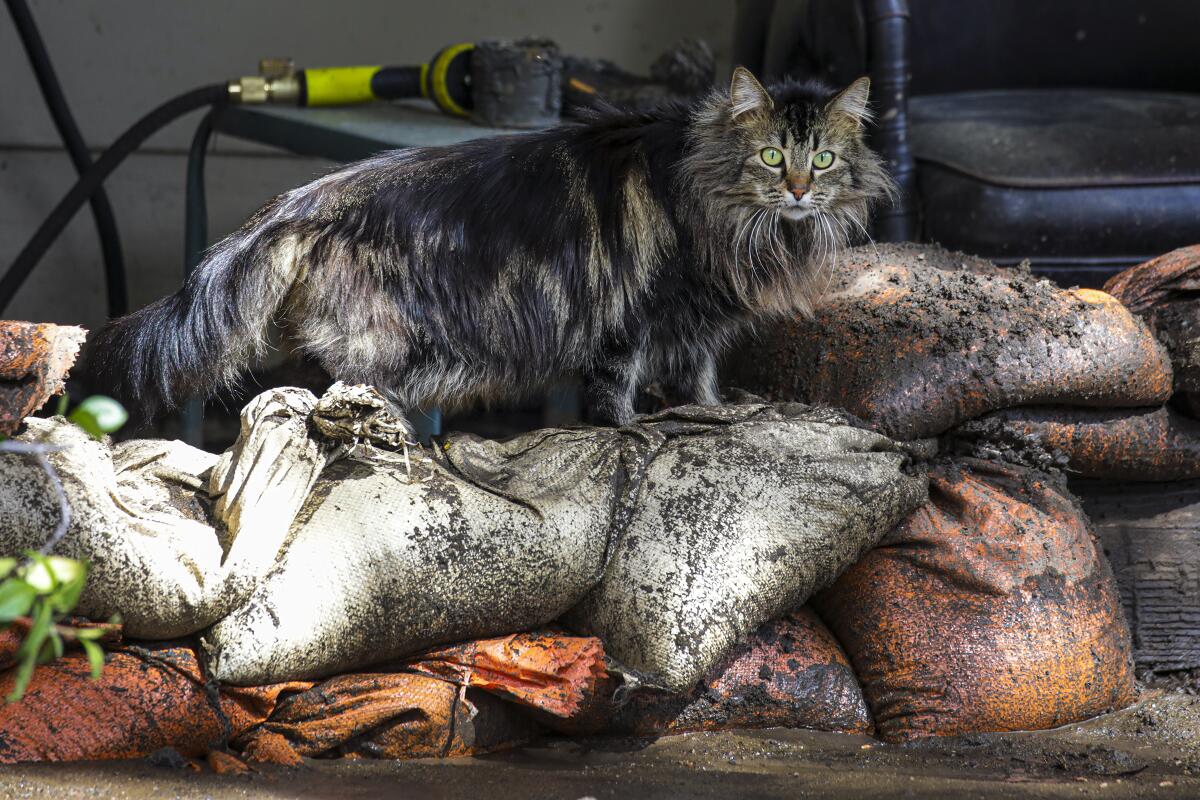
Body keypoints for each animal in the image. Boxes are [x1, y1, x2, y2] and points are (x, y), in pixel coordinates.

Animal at [91, 68, 892, 429]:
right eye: (770, 156)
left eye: (822, 160)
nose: (798, 189)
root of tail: (298, 204)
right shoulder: (634, 319)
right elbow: (617, 399)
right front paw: (637, 432)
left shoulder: (699, 325)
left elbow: (700, 381)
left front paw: (716, 416)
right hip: (386, 346)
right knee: (346, 396)